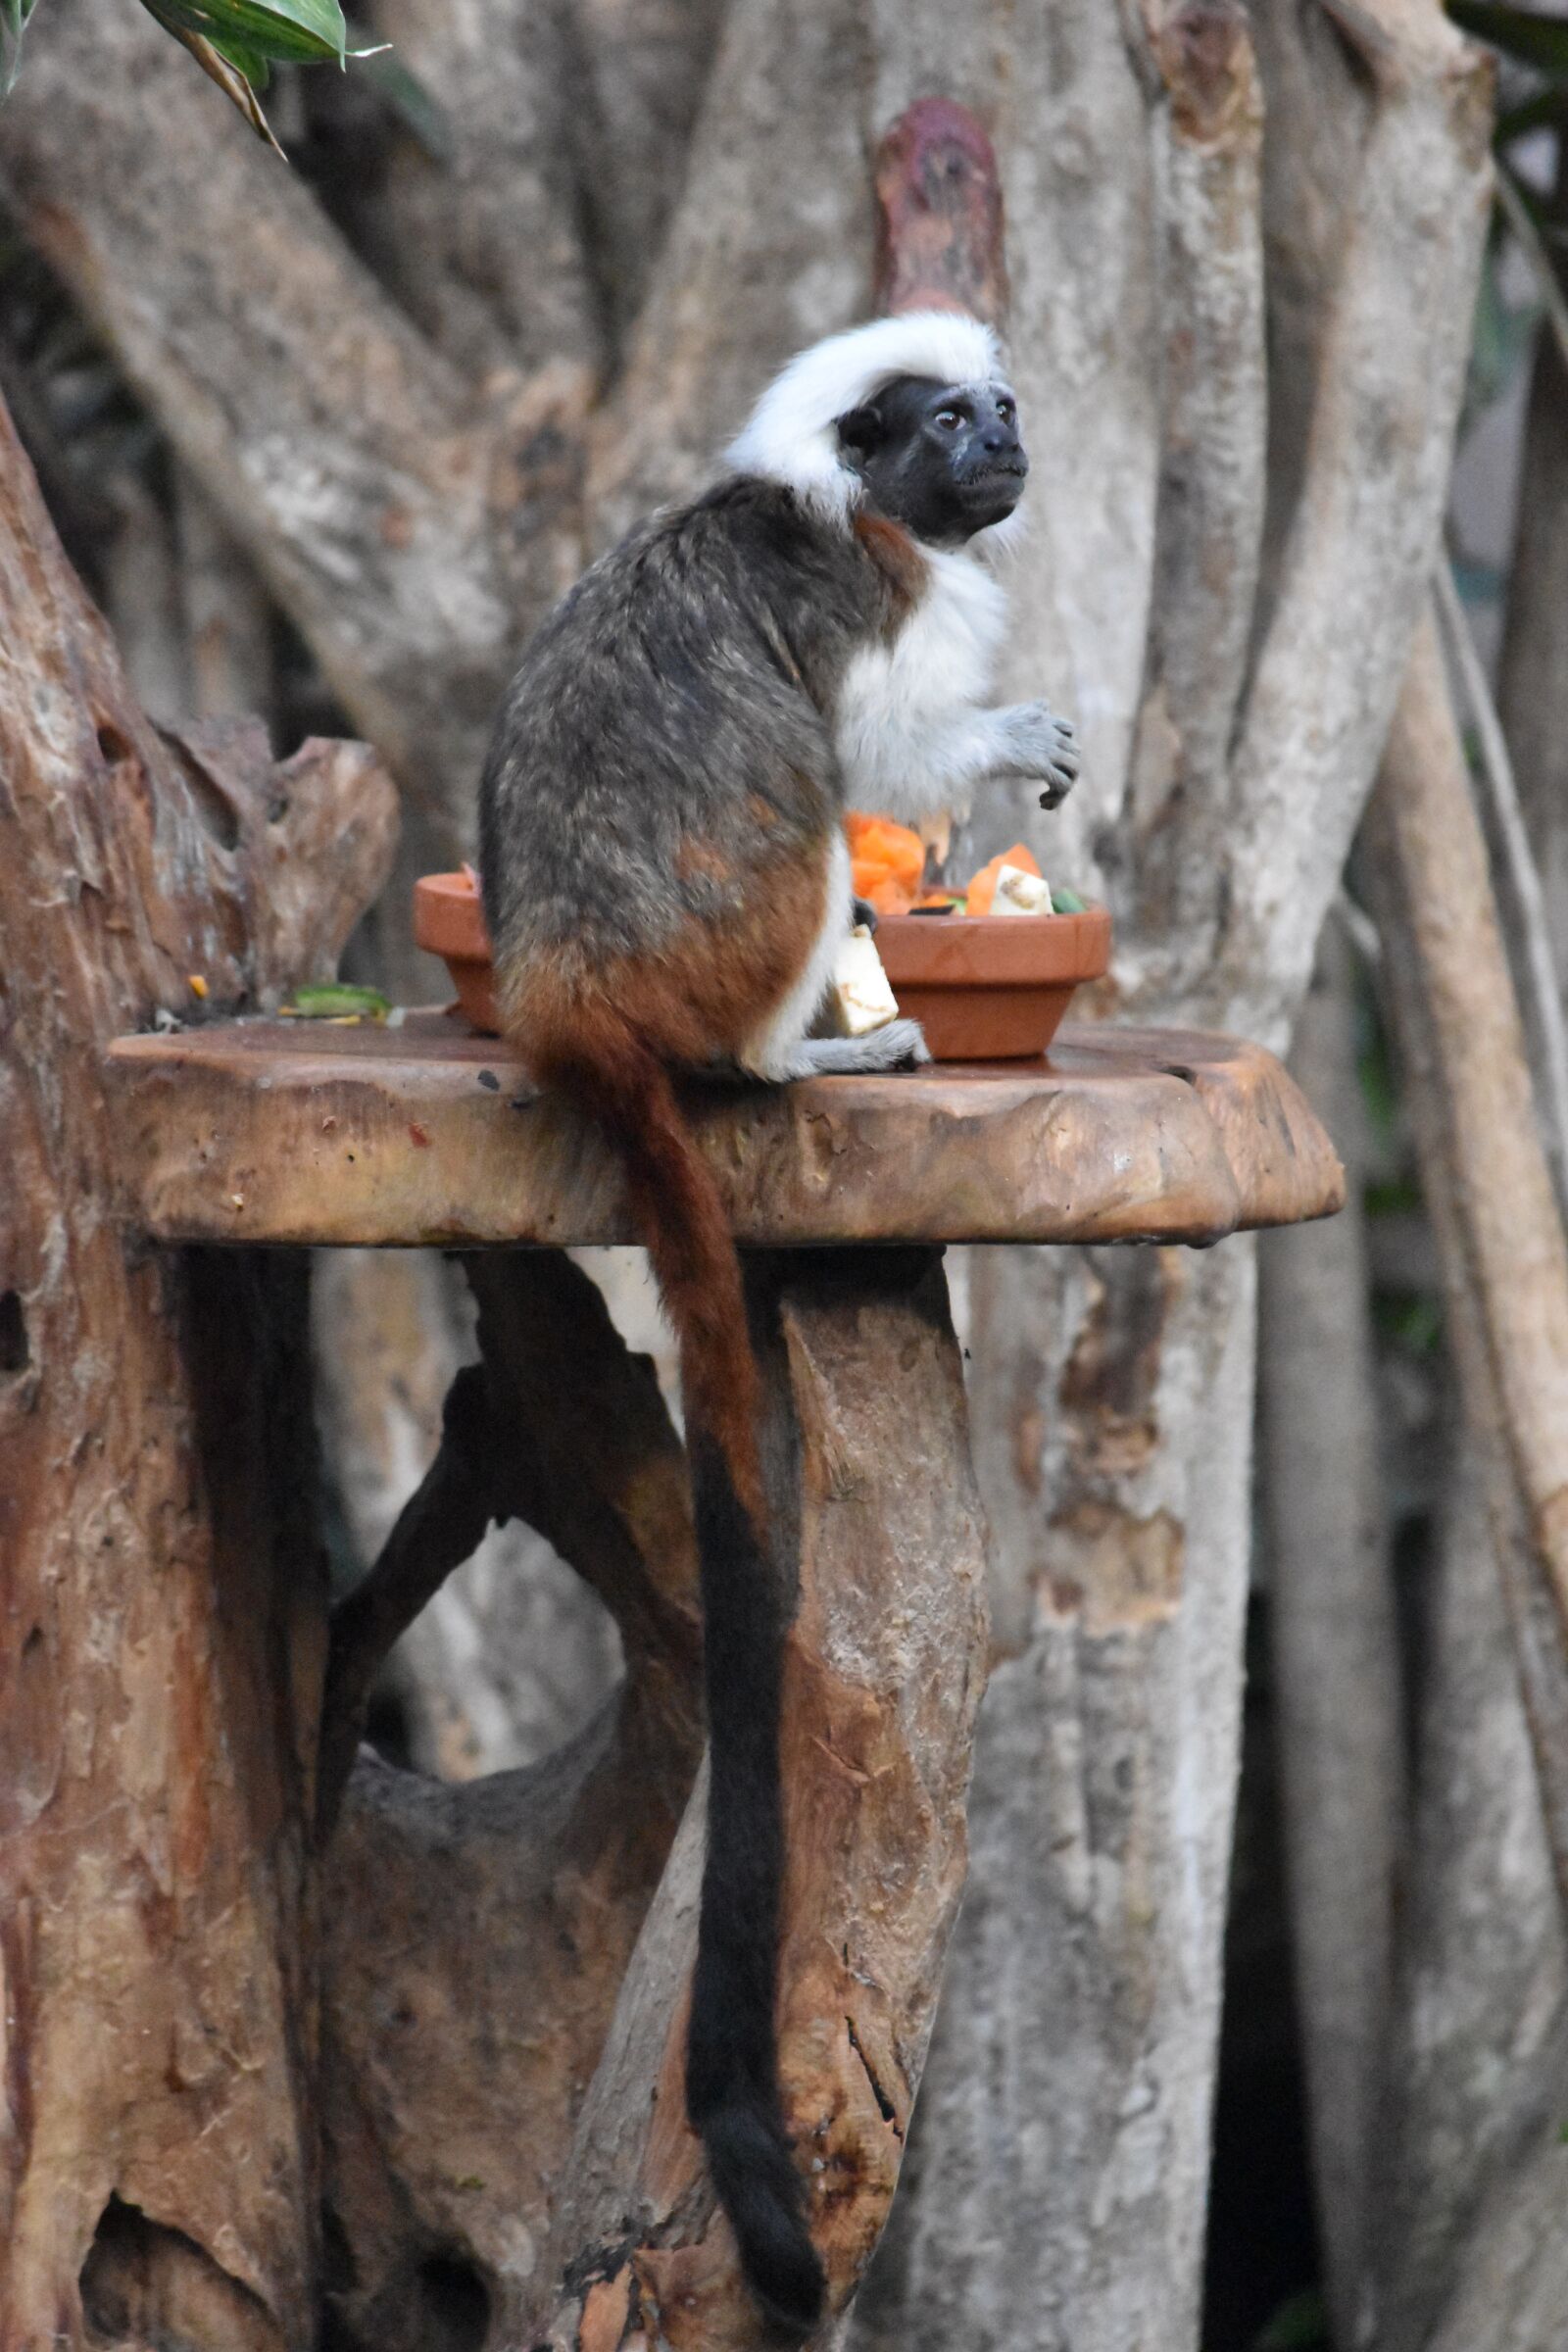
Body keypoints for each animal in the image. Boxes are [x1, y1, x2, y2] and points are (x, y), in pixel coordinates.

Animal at [478, 312, 1078, 2334]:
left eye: (1002, 406)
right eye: (950, 424)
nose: (1011, 444)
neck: (835, 493)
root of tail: (568, 990)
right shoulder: (879, 587)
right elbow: (877, 740)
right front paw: (1006, 738)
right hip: (730, 938)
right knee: (813, 813)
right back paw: (803, 1050)